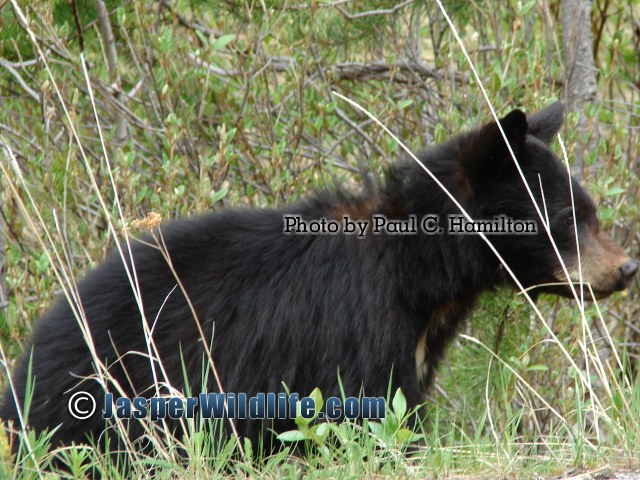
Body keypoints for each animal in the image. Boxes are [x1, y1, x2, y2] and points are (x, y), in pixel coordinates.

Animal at [1, 102, 637, 455]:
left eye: (592, 210)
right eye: (567, 219)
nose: (626, 267)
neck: (419, 271)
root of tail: (27, 359)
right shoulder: (356, 330)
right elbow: (368, 414)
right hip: (107, 398)